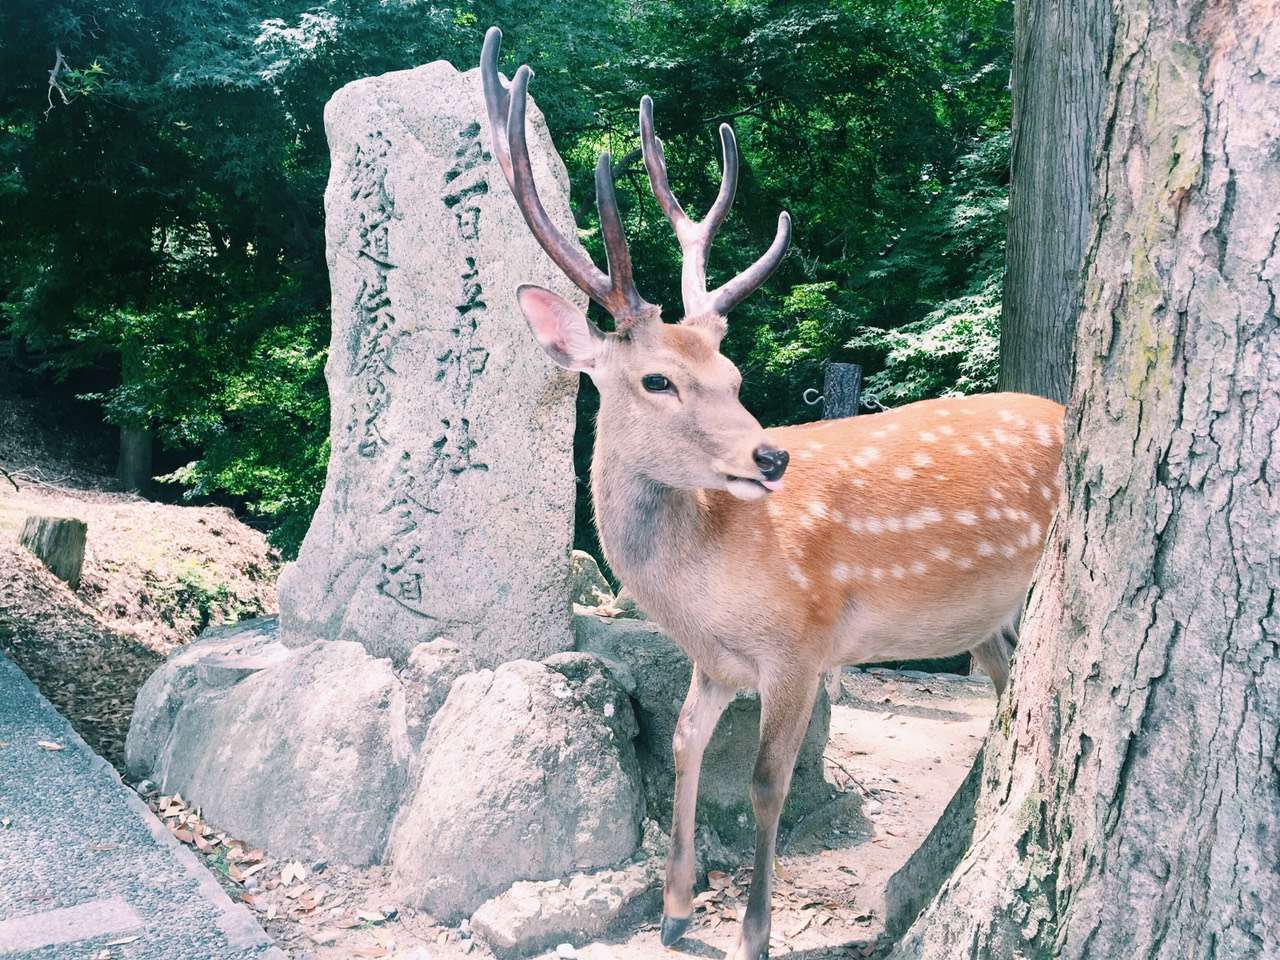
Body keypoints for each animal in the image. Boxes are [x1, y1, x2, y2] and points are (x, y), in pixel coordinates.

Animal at [481, 28, 1059, 960]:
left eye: (734, 375)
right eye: (658, 379)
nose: (771, 455)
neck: (703, 589)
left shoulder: (803, 641)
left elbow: (764, 782)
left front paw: (753, 930)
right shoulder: (719, 661)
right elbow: (684, 744)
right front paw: (678, 909)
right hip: (985, 622)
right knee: (1003, 702)